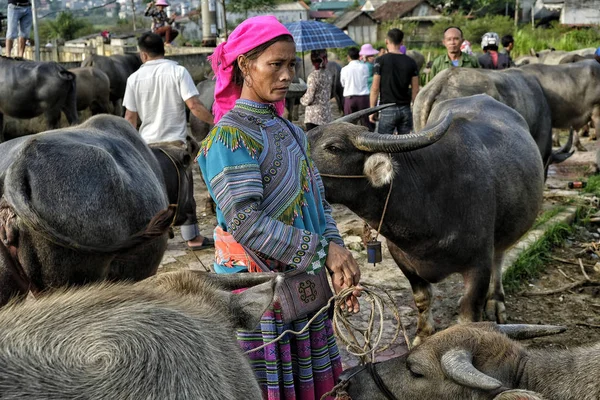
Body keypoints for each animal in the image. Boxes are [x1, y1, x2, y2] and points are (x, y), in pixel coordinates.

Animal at [310, 95, 544, 342]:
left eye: (333, 148)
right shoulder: (403, 260)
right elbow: (422, 298)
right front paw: (423, 335)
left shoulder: (479, 264)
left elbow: (469, 313)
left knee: (499, 257)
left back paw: (497, 302)